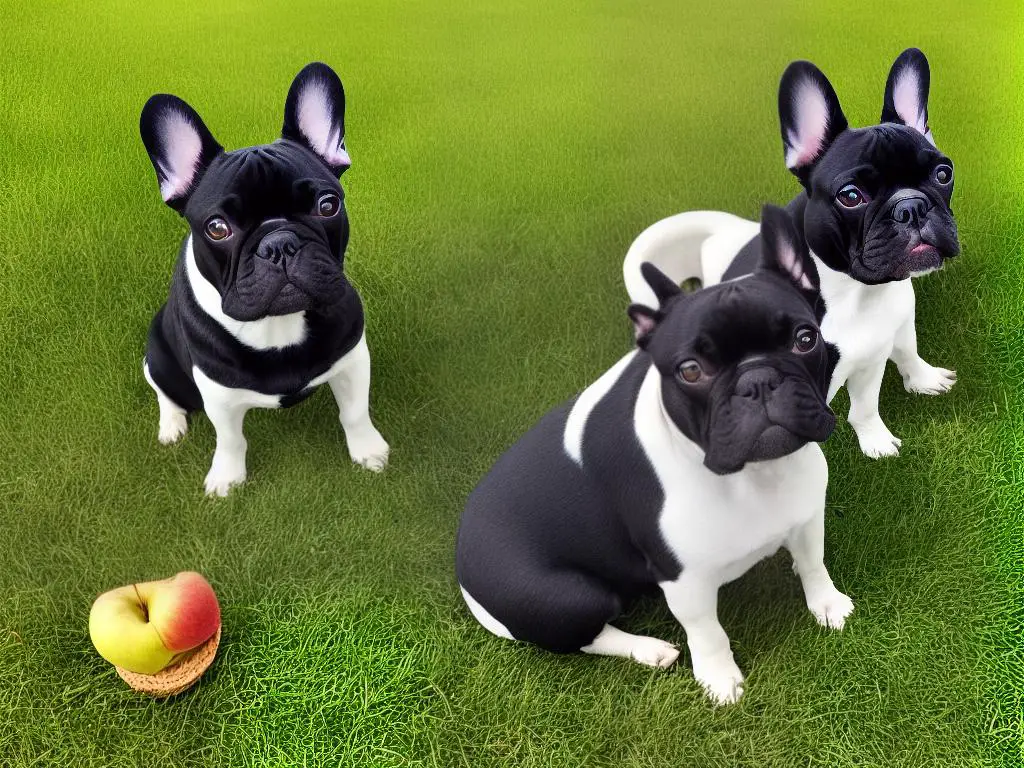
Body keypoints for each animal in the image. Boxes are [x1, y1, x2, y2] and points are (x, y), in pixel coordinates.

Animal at [140, 63, 387, 495]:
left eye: (327, 205)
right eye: (217, 228)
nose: (278, 243)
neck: (277, 324)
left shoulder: (354, 359)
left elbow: (355, 413)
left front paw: (367, 450)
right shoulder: (217, 394)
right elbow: (230, 438)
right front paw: (227, 477)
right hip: (157, 355)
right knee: (164, 389)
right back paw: (171, 425)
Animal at [460, 207, 851, 708]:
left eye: (806, 339)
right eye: (691, 371)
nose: (758, 379)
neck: (752, 476)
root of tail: (463, 570)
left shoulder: (805, 516)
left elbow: (813, 563)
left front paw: (827, 603)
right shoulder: (686, 584)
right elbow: (707, 633)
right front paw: (720, 679)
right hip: (569, 597)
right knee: (589, 634)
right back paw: (649, 649)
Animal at [622, 51, 958, 460]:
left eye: (943, 174)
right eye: (851, 196)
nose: (912, 205)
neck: (856, 294)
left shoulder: (875, 352)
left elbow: (870, 399)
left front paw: (879, 435)